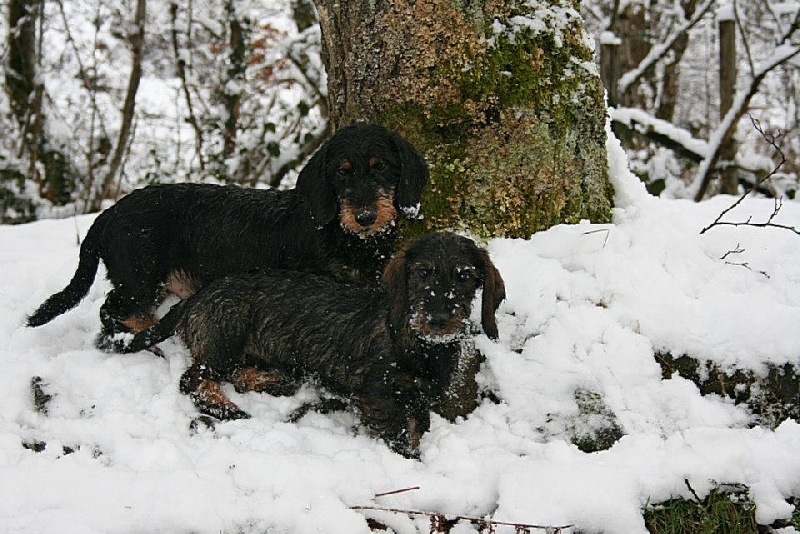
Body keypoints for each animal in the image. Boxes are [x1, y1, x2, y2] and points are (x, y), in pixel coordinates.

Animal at [27, 123, 428, 351]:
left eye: (382, 167)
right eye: (342, 172)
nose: (365, 217)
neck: (342, 235)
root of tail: (107, 215)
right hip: (139, 278)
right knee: (110, 310)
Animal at [121, 232, 506, 457]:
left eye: (465, 276)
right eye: (422, 272)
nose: (438, 319)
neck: (420, 347)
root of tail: (196, 297)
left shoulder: (420, 398)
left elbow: (417, 426)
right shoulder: (377, 396)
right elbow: (398, 435)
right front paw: (408, 459)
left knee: (237, 375)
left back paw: (274, 382)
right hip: (225, 335)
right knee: (195, 380)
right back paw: (229, 408)